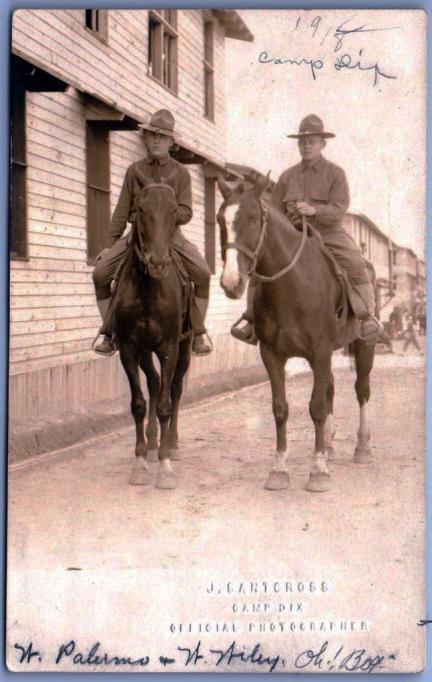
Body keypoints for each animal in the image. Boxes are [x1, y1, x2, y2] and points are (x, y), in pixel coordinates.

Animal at [112, 170, 192, 488]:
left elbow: (166, 405)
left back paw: (172, 443)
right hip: (146, 352)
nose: (158, 262)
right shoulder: (129, 350)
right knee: (156, 384)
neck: (149, 289)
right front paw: (140, 460)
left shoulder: (169, 347)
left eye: (173, 212)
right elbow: (139, 403)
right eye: (141, 210)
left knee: (175, 389)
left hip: (184, 348)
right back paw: (153, 440)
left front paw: (165, 466)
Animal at [218, 174, 376, 494]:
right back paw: (328, 445)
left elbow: (316, 407)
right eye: (219, 220)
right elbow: (281, 408)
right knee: (331, 387)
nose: (231, 282)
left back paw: (362, 448)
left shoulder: (320, 351)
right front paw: (279, 469)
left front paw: (318, 472)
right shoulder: (272, 355)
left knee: (361, 389)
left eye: (253, 219)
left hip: (364, 345)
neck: (292, 284)